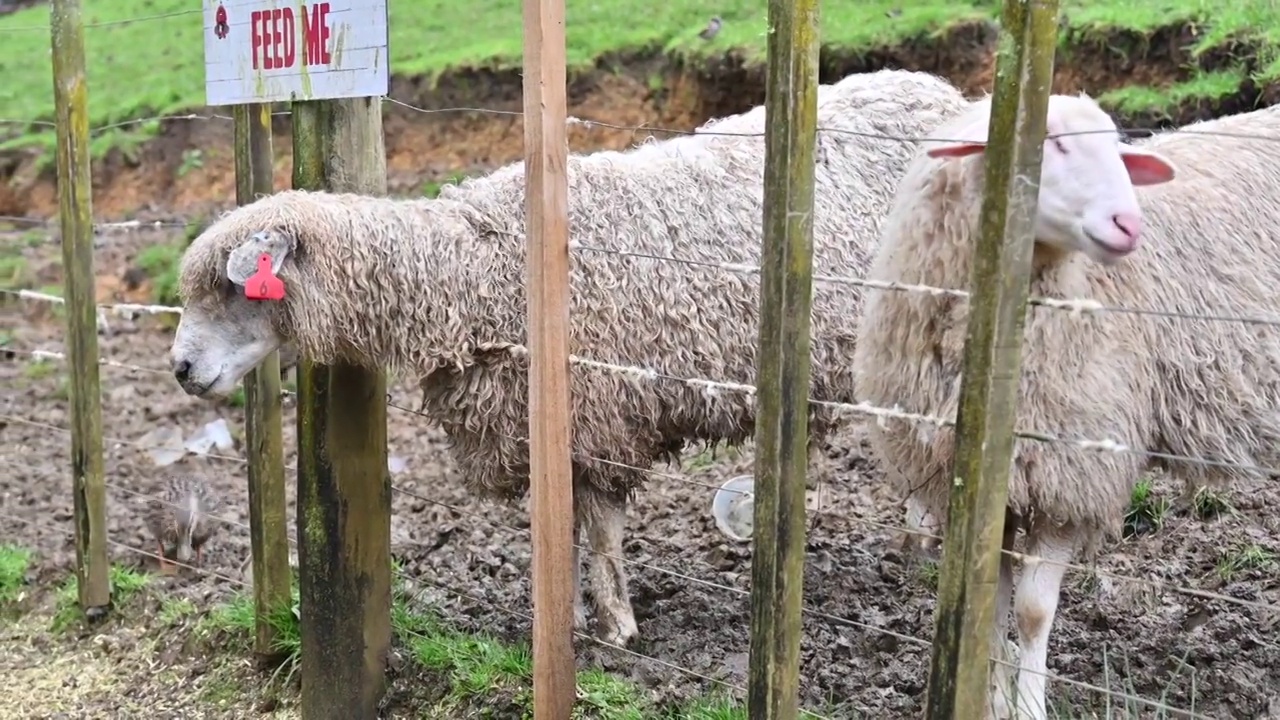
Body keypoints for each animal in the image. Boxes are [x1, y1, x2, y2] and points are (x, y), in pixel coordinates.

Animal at [167, 70, 967, 648]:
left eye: (231, 287)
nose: (179, 370)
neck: (470, 272)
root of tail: (935, 89)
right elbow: (571, 529)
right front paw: (572, 616)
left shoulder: (598, 416)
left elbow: (602, 533)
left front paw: (616, 630)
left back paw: (926, 543)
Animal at [849, 92, 1280, 712]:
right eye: (1050, 141)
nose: (1129, 224)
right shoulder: (987, 488)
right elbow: (991, 600)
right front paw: (991, 701)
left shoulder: (1069, 476)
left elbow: (1031, 610)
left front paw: (1027, 707)